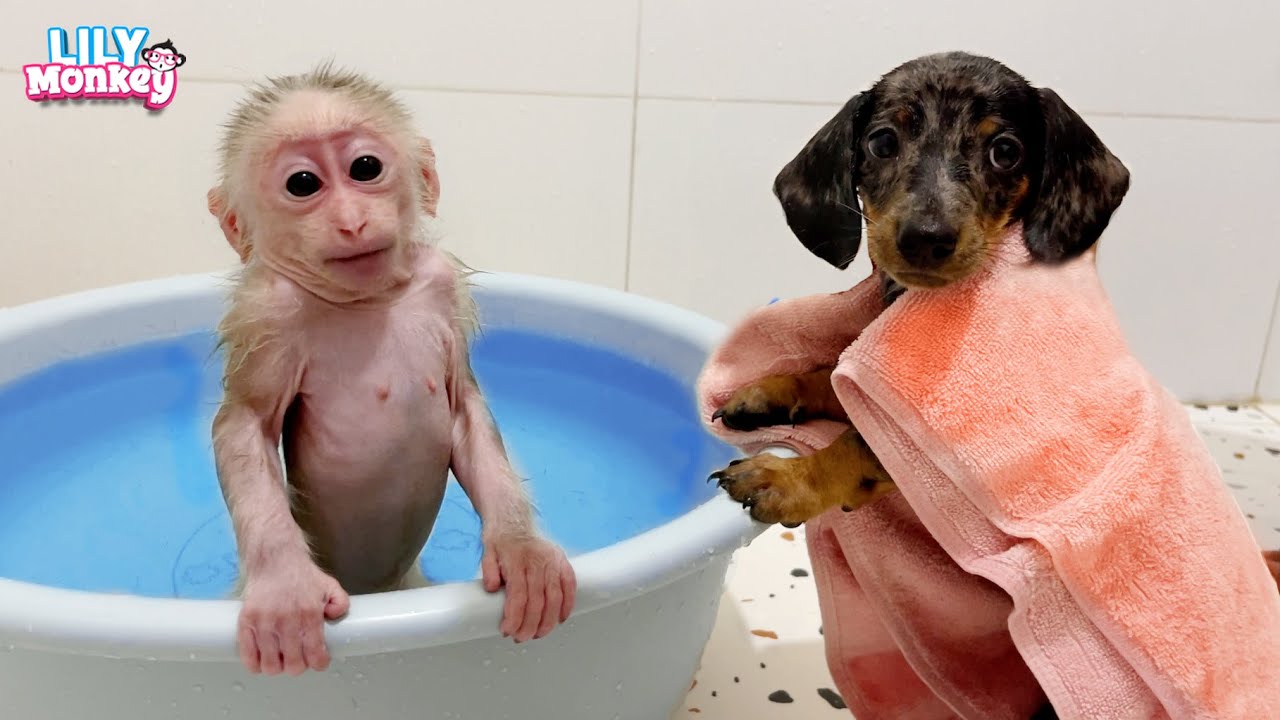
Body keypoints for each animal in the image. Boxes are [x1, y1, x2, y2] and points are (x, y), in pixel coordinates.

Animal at [206, 63, 576, 677]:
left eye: (365, 168)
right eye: (302, 184)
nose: (351, 222)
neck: (365, 301)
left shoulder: (440, 283)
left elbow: (464, 405)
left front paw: (520, 549)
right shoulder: (266, 312)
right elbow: (246, 426)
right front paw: (284, 586)